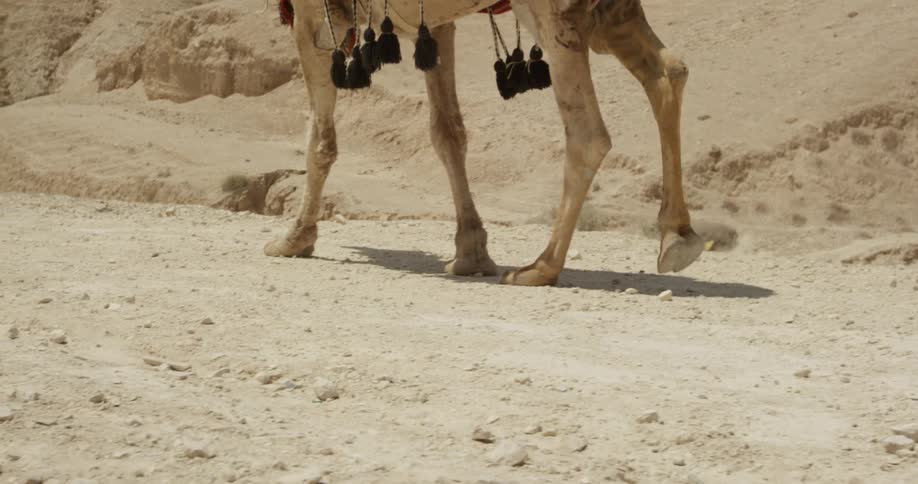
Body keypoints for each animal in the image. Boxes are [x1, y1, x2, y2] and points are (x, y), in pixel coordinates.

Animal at [264, 0, 704, 286]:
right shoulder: (436, 26)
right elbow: (447, 133)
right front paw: (470, 253)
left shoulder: (312, 14)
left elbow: (320, 138)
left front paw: (294, 238)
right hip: (613, 11)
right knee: (669, 73)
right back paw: (677, 236)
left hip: (553, 12)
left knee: (588, 131)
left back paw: (541, 266)